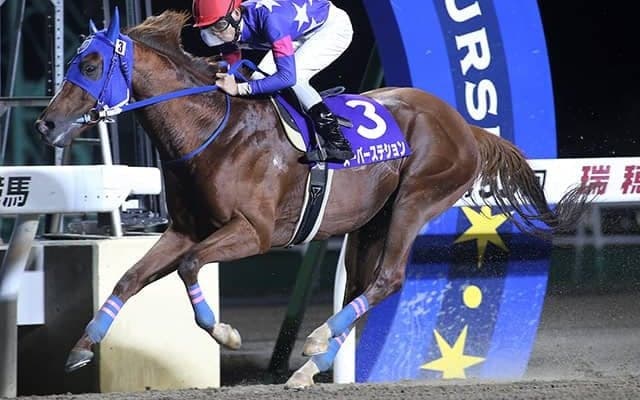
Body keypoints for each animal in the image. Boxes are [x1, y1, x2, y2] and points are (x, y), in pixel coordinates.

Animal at [34, 9, 590, 389]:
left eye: (91, 63)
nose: (46, 124)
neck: (212, 129)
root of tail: (464, 125)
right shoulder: (186, 227)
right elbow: (130, 277)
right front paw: (82, 349)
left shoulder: (253, 232)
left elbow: (190, 267)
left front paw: (226, 335)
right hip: (372, 220)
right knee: (362, 285)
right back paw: (311, 366)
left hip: (416, 199)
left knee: (389, 279)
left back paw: (318, 344)